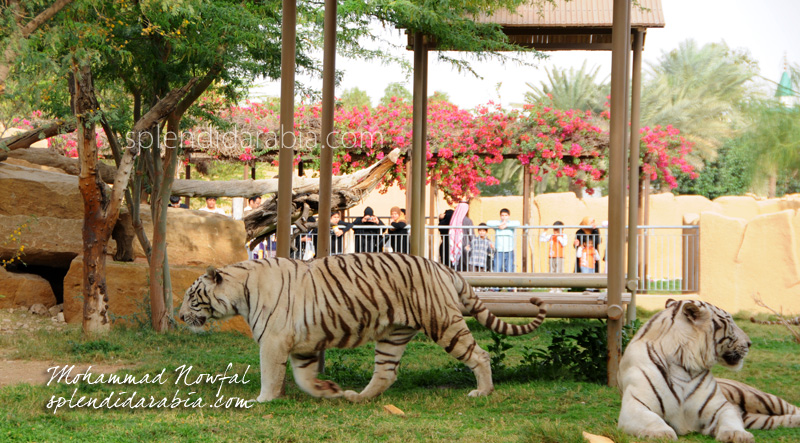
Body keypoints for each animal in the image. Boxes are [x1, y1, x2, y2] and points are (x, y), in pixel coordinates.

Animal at [178, 253, 548, 402]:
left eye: (192, 297)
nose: (179, 317)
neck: (241, 289)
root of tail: (445, 267)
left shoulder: (273, 341)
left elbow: (271, 374)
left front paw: (263, 400)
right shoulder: (302, 346)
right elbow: (304, 377)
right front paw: (328, 390)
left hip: (443, 323)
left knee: (480, 355)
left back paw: (483, 391)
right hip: (393, 335)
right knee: (386, 372)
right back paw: (358, 397)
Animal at [620, 300, 800, 442]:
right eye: (730, 323)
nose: (750, 343)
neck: (683, 364)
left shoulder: (720, 407)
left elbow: (730, 419)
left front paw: (737, 434)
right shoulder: (635, 404)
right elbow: (651, 418)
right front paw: (661, 433)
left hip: (761, 398)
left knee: (792, 408)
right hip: (755, 417)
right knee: (774, 420)